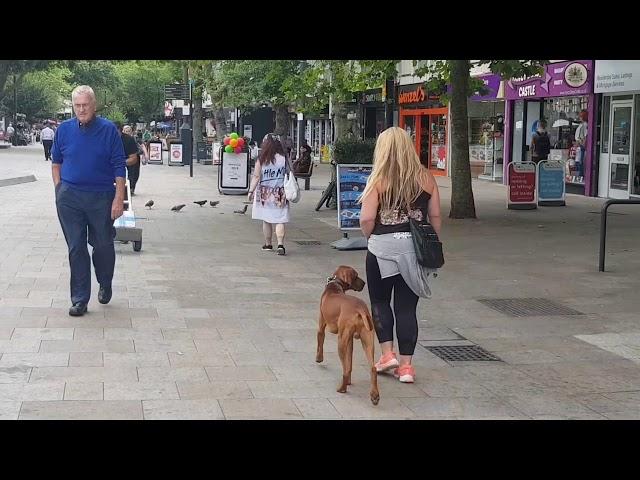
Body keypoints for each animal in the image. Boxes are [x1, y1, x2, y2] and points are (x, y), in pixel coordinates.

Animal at [316, 266, 380, 404]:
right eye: (356, 276)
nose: (364, 283)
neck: (335, 285)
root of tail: (360, 309)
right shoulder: (350, 340)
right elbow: (350, 363)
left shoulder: (321, 326)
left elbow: (320, 342)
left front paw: (319, 358)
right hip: (368, 341)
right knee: (371, 368)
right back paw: (374, 396)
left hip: (341, 342)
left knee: (344, 370)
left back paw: (342, 388)